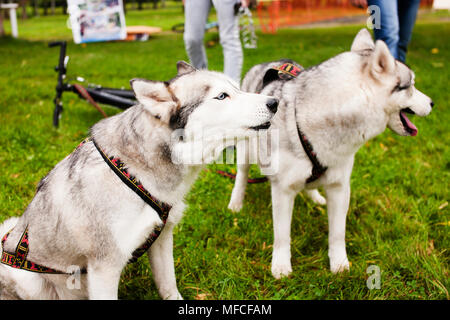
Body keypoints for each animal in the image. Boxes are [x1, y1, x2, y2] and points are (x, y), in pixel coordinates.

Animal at [0, 62, 278, 300]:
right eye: (222, 96)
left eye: (237, 88)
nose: (274, 102)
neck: (135, 174)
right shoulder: (105, 266)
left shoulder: (162, 238)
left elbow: (169, 285)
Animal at [227, 30, 434, 278]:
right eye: (411, 85)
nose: (432, 103)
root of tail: (266, 63)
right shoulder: (282, 190)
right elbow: (282, 235)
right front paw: (281, 265)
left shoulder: (340, 186)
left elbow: (337, 233)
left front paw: (339, 264)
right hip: (245, 150)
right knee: (242, 175)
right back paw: (236, 203)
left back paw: (315, 196)